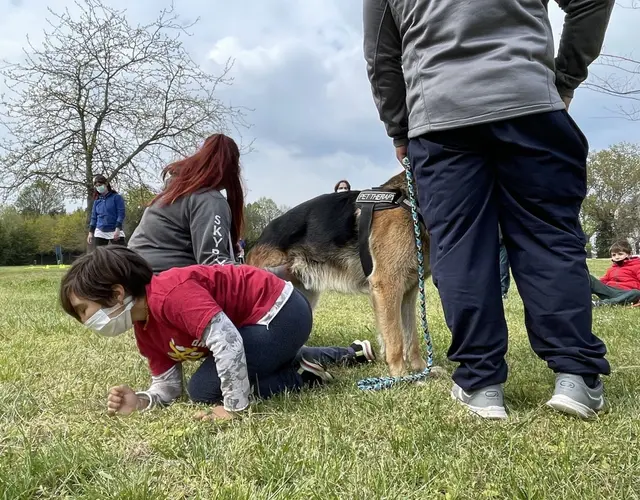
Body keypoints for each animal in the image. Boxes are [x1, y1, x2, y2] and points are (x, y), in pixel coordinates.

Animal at [248, 171, 432, 376]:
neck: (409, 202)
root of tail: (260, 239)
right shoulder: (388, 285)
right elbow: (395, 338)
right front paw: (400, 376)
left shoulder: (409, 292)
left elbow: (411, 336)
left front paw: (421, 369)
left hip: (304, 297)